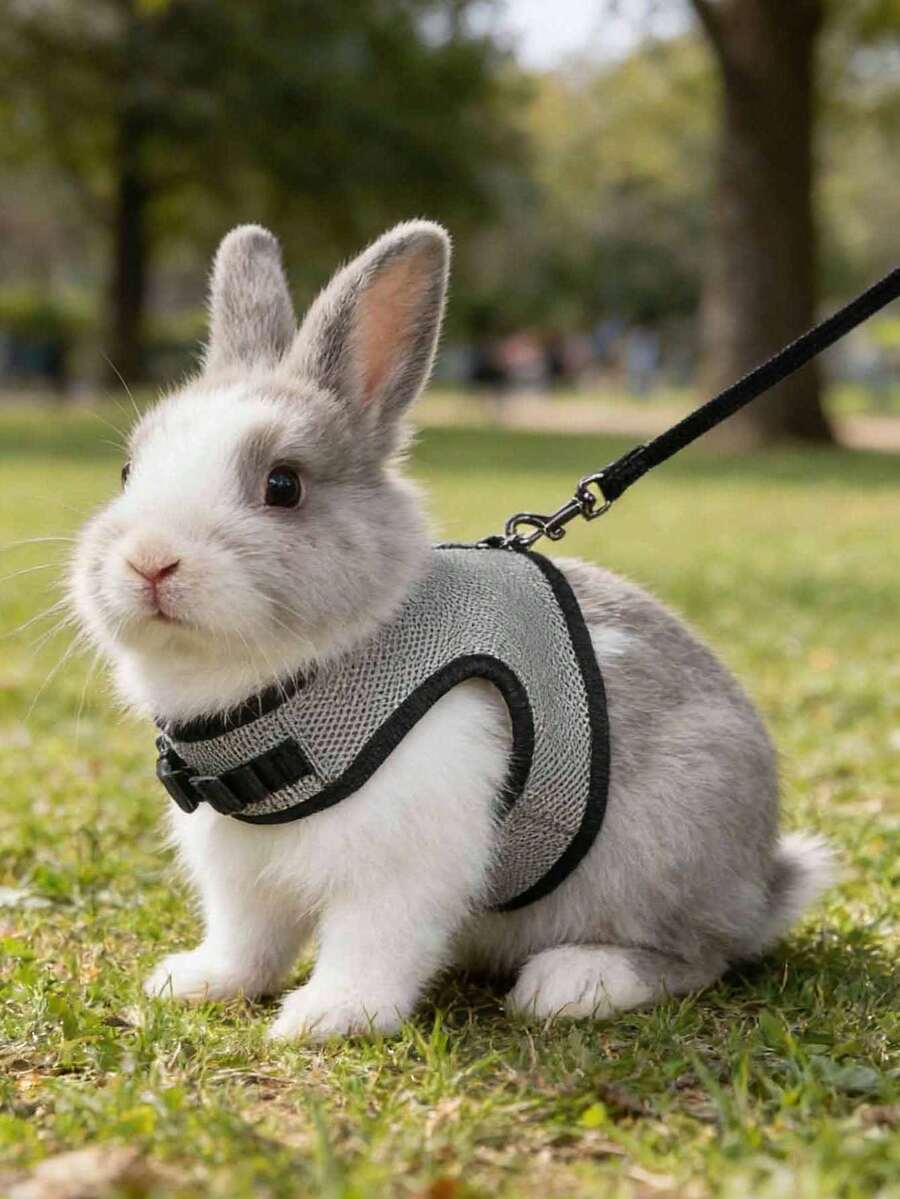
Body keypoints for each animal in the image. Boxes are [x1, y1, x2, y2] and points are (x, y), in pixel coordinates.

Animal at [70, 221, 834, 1040]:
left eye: (283, 485)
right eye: (127, 471)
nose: (150, 560)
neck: (307, 679)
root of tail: (764, 881)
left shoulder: (403, 854)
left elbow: (373, 940)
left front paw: (328, 1017)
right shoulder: (241, 866)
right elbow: (248, 937)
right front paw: (195, 983)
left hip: (658, 852)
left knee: (697, 956)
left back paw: (572, 983)